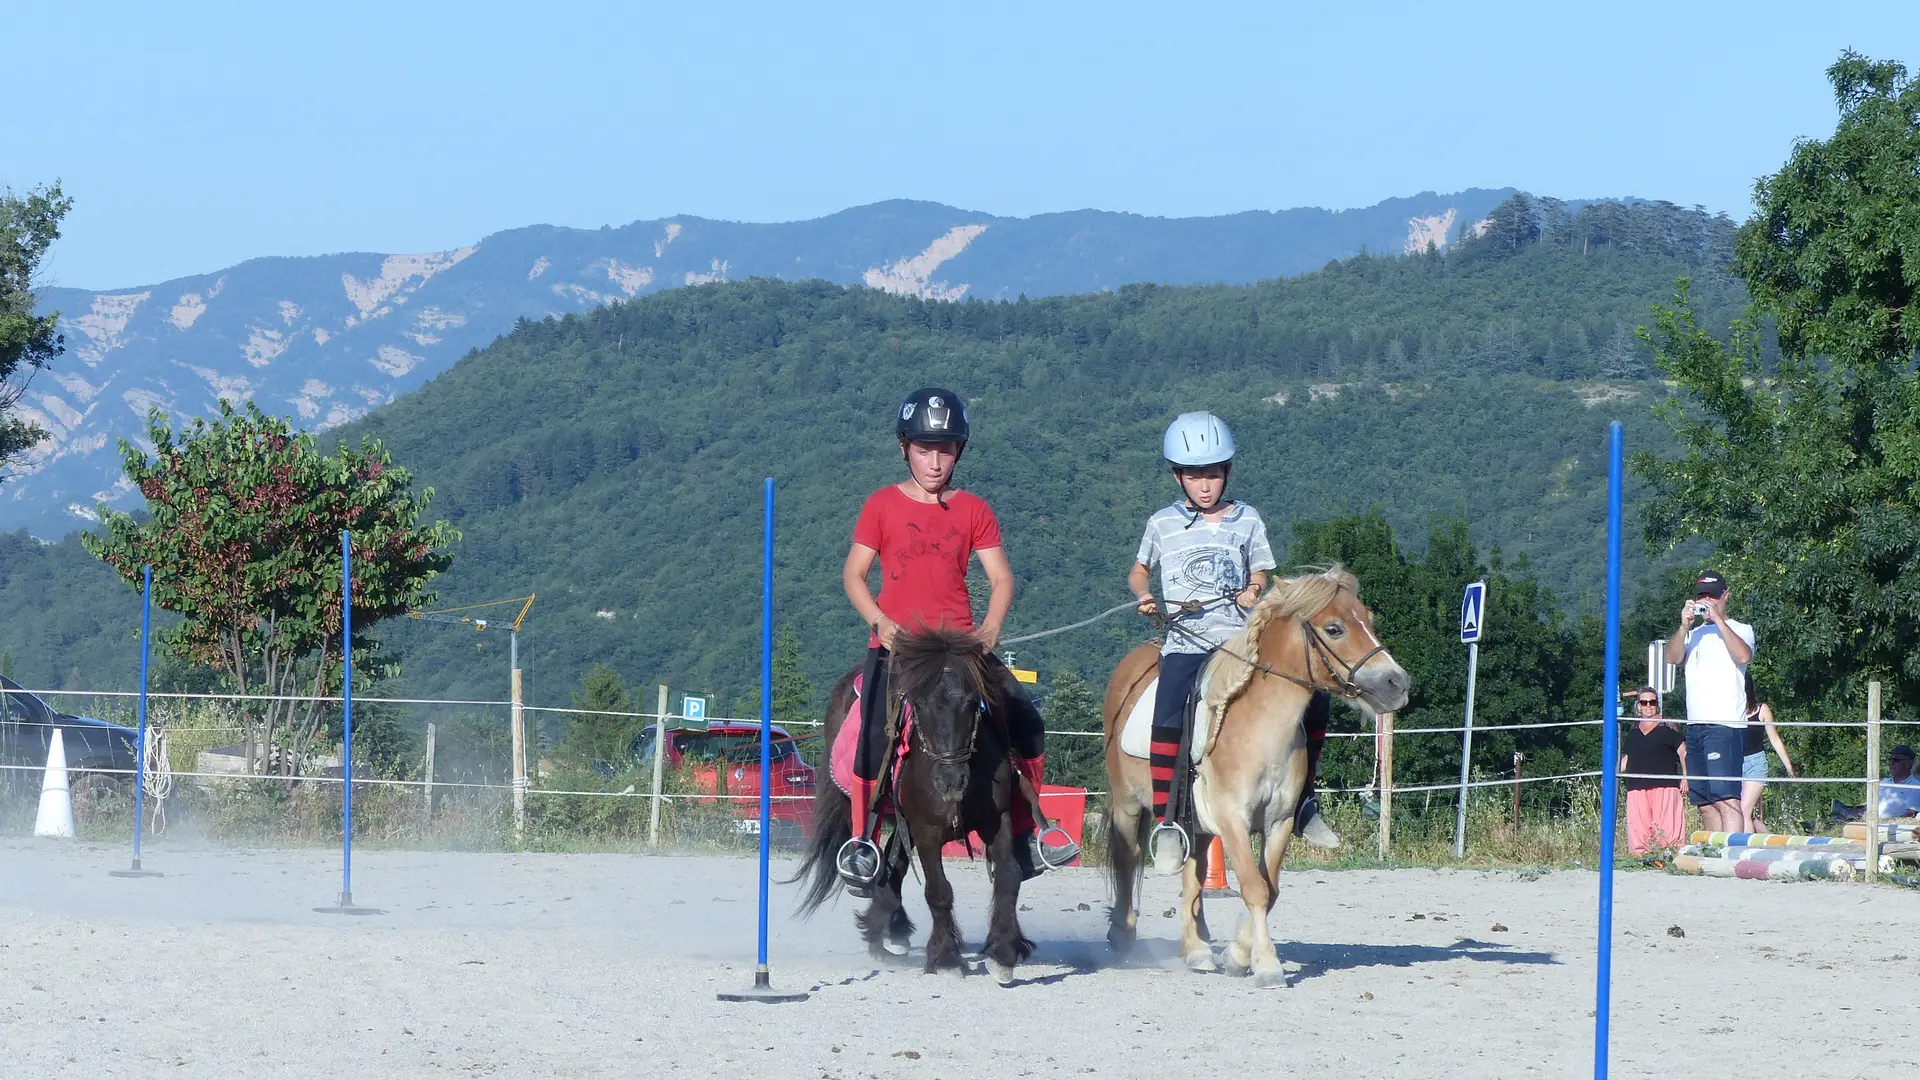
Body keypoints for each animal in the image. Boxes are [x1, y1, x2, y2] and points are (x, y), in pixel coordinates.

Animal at [791, 626, 1036, 980]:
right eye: (919, 705)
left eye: (971, 703)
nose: (950, 781)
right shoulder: (926, 830)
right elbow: (938, 891)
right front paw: (947, 958)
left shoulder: (997, 820)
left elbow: (1009, 877)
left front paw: (1003, 951)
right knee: (876, 856)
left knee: (895, 865)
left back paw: (891, 928)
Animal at [1098, 564, 1413, 983]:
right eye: (1334, 629)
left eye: (1369, 619)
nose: (1397, 683)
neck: (1258, 727)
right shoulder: (1232, 818)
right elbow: (1254, 888)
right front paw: (1265, 965)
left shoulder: (1278, 822)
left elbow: (1269, 889)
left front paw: (1238, 955)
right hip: (1129, 803)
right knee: (1127, 856)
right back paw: (1123, 933)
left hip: (1195, 820)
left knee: (1194, 872)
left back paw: (1197, 948)